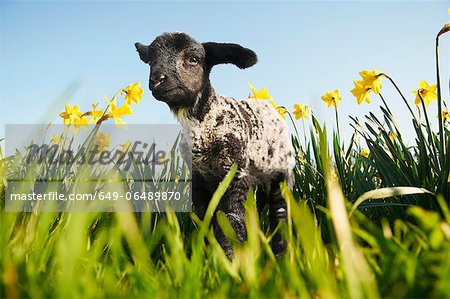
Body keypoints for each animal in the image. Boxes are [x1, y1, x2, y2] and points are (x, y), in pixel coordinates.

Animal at [134, 31, 296, 258]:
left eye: (194, 59)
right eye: (151, 60)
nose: (157, 79)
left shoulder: (233, 176)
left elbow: (229, 221)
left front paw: (231, 259)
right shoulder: (198, 182)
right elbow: (207, 221)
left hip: (282, 173)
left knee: (279, 210)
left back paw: (281, 253)